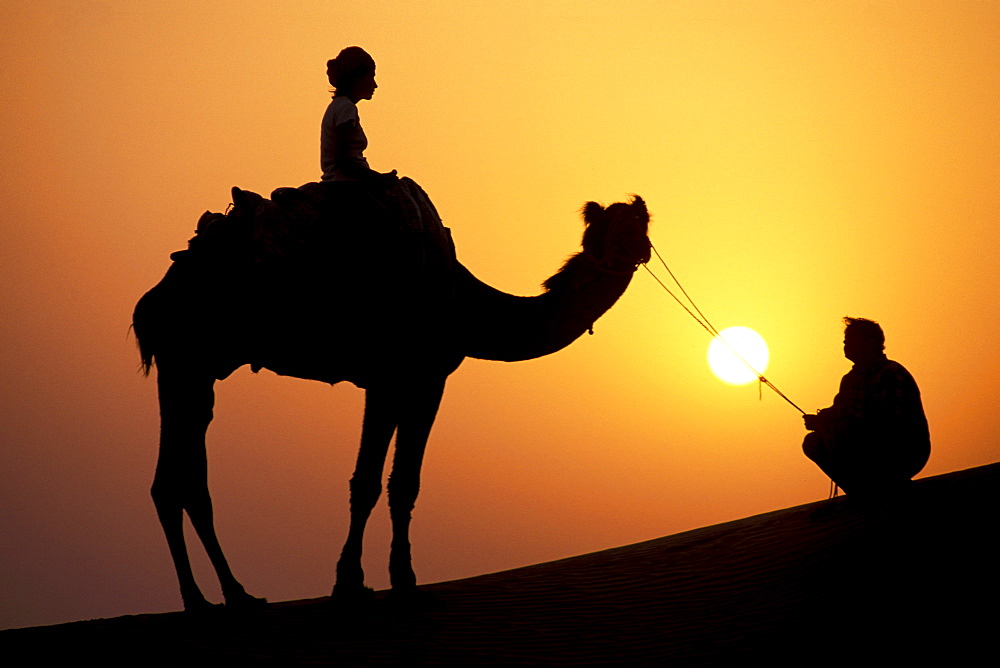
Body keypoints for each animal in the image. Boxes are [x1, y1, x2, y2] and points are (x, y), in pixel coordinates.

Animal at [133, 179, 652, 612]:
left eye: (640, 223)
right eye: (619, 228)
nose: (639, 250)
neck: (466, 306)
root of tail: (153, 298)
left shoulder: (411, 379)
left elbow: (399, 482)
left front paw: (385, 579)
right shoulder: (404, 377)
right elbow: (375, 482)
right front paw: (365, 582)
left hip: (193, 367)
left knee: (179, 477)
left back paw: (227, 597)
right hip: (186, 358)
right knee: (177, 477)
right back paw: (207, 599)